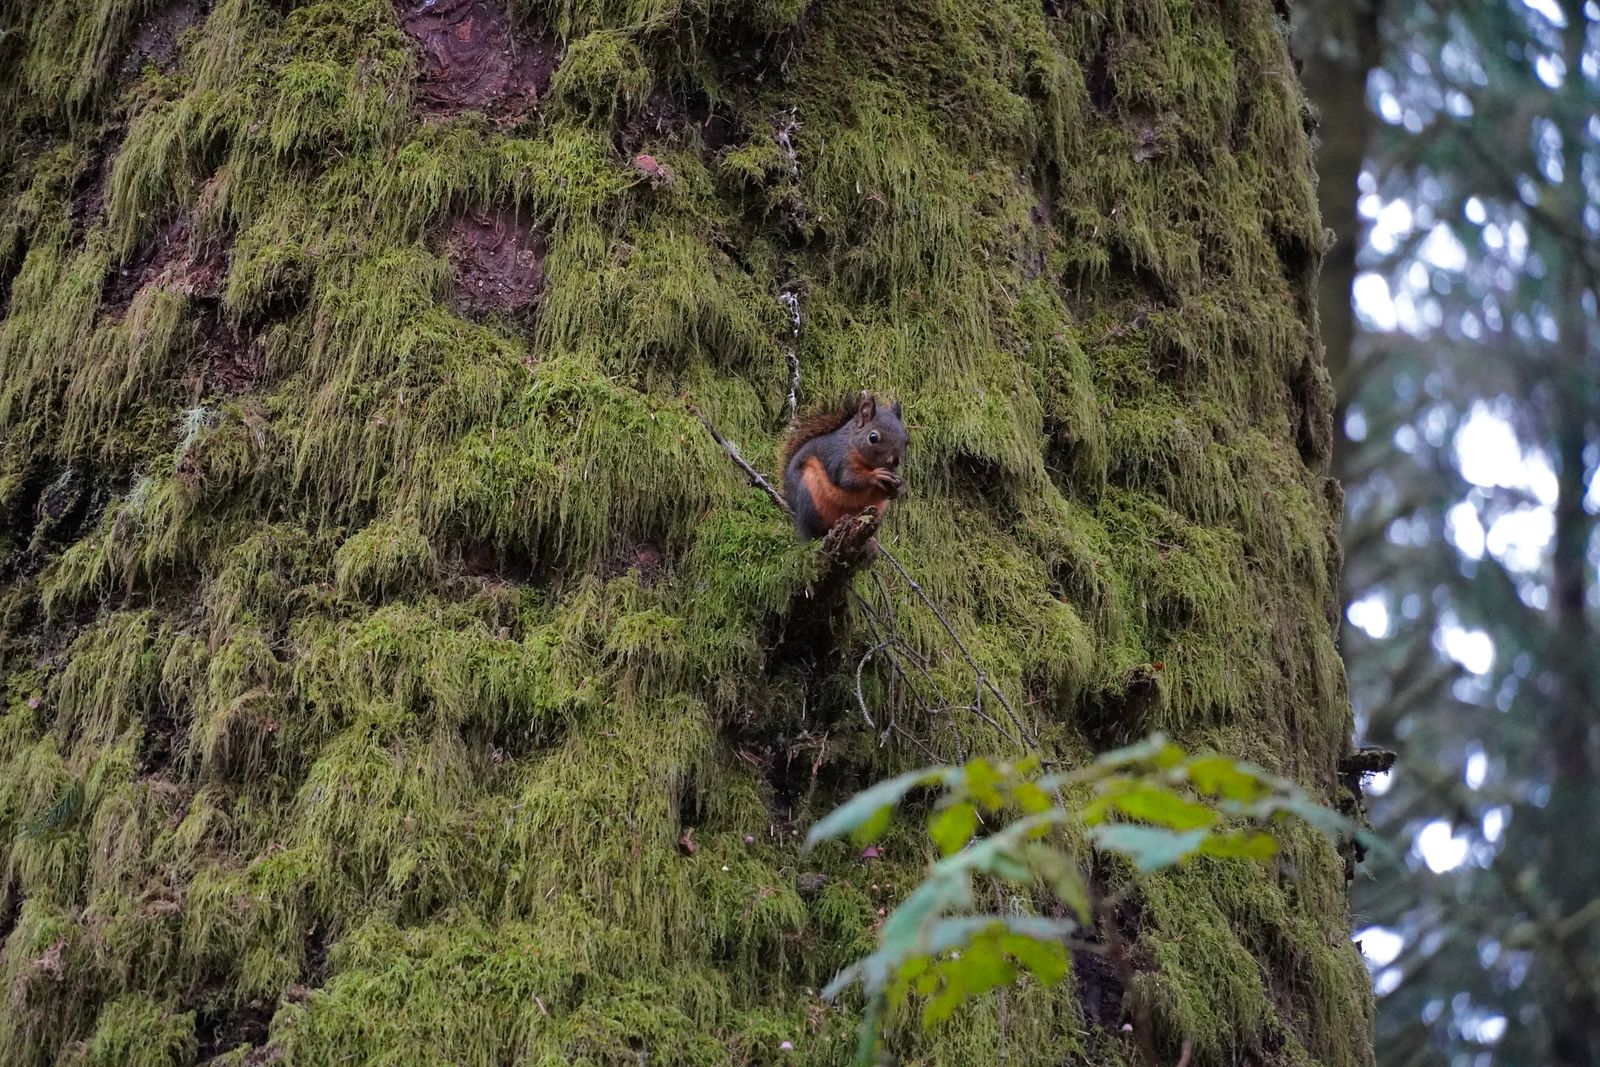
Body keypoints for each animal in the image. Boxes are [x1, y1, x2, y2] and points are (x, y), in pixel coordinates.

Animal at [782, 391, 908, 540]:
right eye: (873, 437)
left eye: (906, 439)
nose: (895, 461)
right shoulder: (838, 458)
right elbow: (847, 480)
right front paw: (876, 475)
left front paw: (897, 488)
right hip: (808, 491)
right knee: (808, 528)